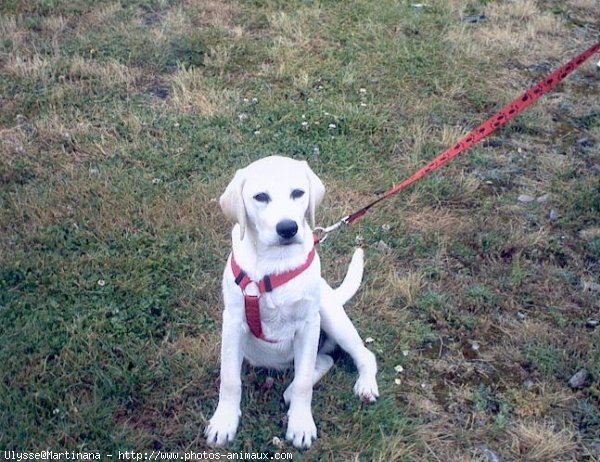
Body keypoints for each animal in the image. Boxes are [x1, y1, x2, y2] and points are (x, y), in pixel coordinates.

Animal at [204, 154, 378, 448]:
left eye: (298, 193)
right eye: (260, 197)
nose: (287, 228)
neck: (275, 262)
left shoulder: (308, 325)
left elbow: (305, 382)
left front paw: (301, 424)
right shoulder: (233, 323)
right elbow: (229, 379)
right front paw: (224, 421)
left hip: (328, 315)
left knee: (362, 355)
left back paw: (365, 384)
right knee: (324, 361)